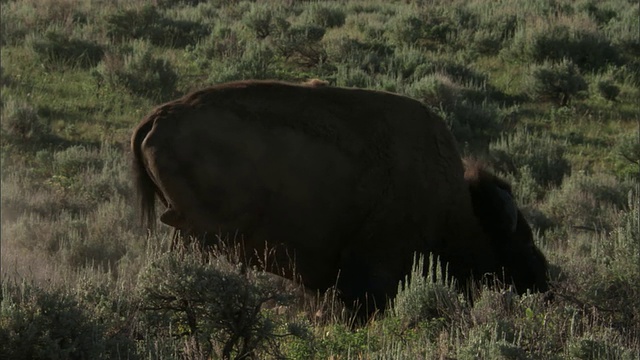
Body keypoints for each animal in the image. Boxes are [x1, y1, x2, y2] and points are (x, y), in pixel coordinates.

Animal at [131, 81, 552, 316]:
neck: (456, 206)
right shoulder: (370, 275)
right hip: (202, 235)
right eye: (518, 240)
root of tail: (158, 117)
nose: (543, 278)